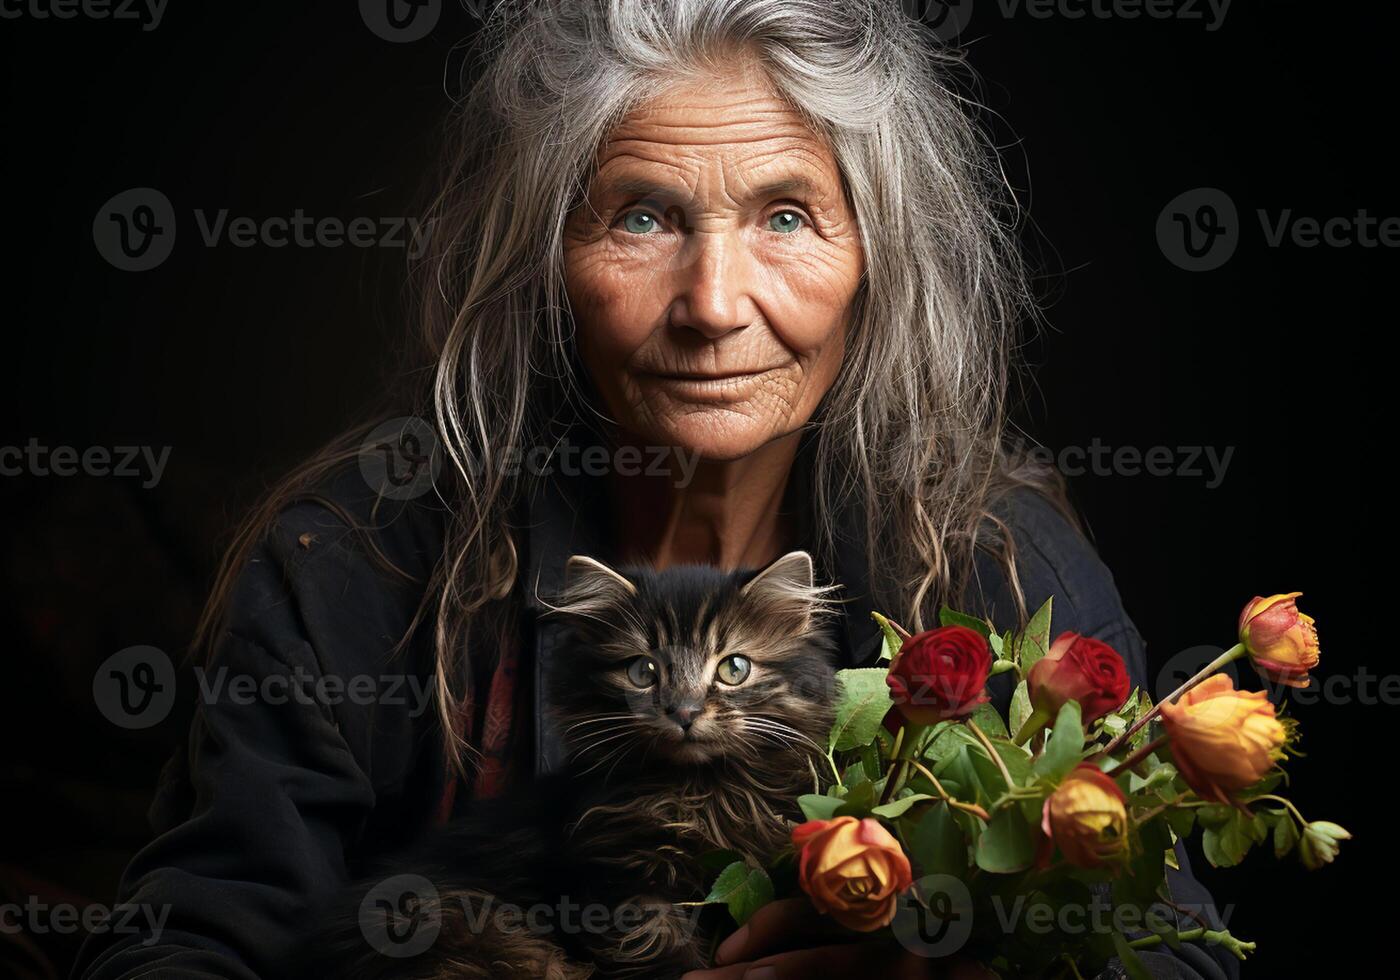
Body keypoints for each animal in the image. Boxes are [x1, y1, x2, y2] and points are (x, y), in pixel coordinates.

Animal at [317, 548, 834, 974]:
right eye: (643, 671)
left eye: (733, 668)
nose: (684, 712)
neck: (698, 792)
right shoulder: (622, 884)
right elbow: (662, 952)